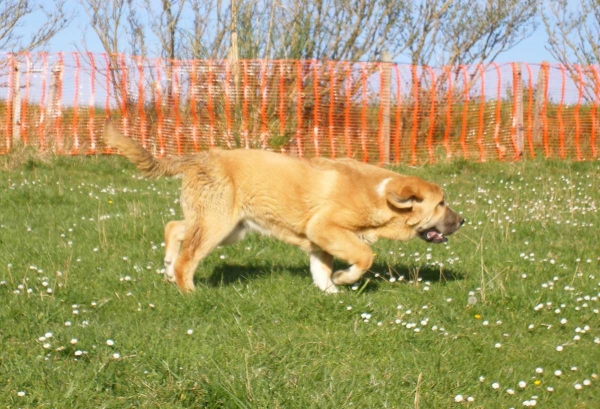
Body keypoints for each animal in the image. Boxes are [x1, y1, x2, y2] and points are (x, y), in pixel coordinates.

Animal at [103, 121, 464, 294]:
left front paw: (330, 291)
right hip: (218, 225)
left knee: (175, 228)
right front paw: (345, 279)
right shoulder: (326, 228)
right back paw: (188, 290)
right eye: (441, 203)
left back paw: (166, 266)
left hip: (226, 227)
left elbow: (321, 270)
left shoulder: (319, 241)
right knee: (186, 260)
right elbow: (364, 255)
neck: (378, 194)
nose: (462, 221)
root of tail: (199, 157)